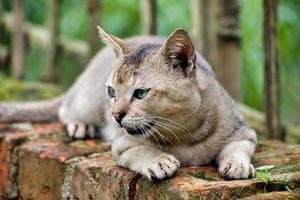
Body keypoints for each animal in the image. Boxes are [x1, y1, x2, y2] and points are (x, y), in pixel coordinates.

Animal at [0, 25, 258, 180]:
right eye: (112, 91)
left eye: (141, 93)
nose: (115, 115)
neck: (185, 136)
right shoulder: (122, 145)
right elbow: (141, 150)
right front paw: (159, 161)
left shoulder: (245, 133)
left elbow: (236, 147)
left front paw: (237, 165)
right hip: (85, 103)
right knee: (65, 109)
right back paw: (80, 125)